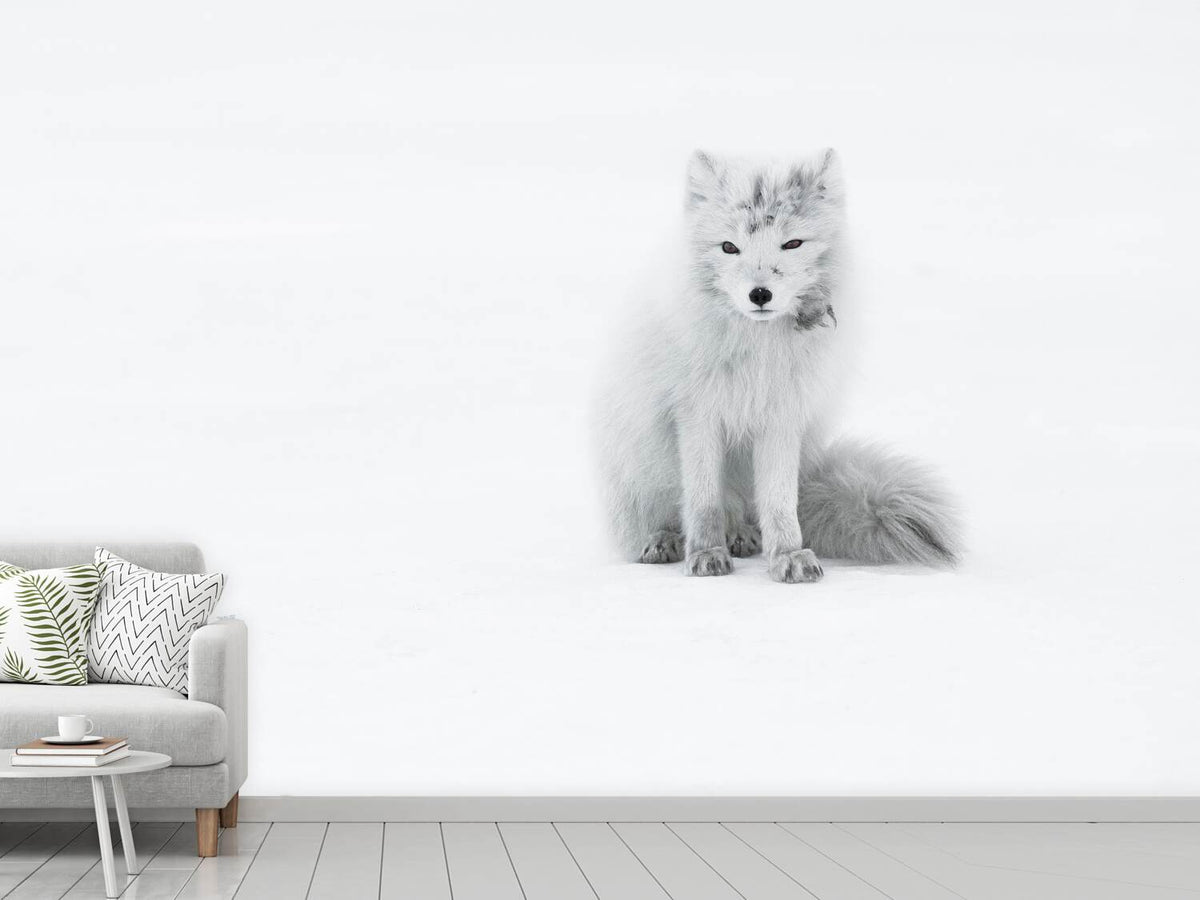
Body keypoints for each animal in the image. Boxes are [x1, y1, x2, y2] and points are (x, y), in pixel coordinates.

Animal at [594, 149, 962, 583]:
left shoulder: (783, 416)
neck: (758, 352)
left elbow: (780, 501)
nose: (759, 294)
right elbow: (702, 499)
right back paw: (664, 540)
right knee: (665, 515)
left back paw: (741, 535)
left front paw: (788, 555)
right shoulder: (696, 415)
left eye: (792, 243)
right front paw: (705, 554)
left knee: (746, 512)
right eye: (729, 247)